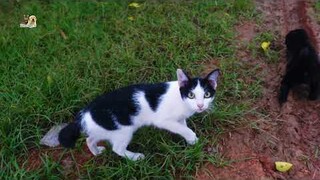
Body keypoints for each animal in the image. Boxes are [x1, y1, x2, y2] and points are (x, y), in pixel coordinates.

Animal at [58, 68, 220, 160]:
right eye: (191, 95)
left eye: (206, 94)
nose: (200, 105)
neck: (181, 99)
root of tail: (85, 113)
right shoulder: (164, 121)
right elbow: (184, 129)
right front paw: (193, 138)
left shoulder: (180, 118)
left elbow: (183, 126)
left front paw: (190, 141)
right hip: (123, 130)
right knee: (117, 149)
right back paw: (135, 157)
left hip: (105, 129)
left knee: (89, 139)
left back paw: (96, 151)